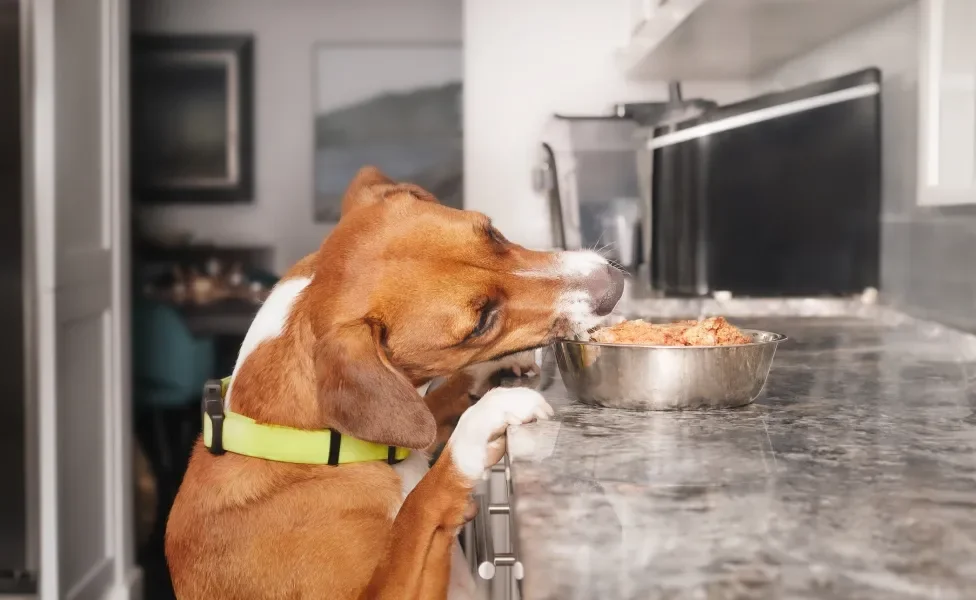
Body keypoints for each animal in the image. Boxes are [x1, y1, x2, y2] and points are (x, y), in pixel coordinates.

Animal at [166, 166, 624, 596]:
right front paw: (480, 424)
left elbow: (428, 418)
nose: (615, 285)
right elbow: (415, 513)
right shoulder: (387, 590)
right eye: (480, 322)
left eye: (492, 233)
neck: (315, 448)